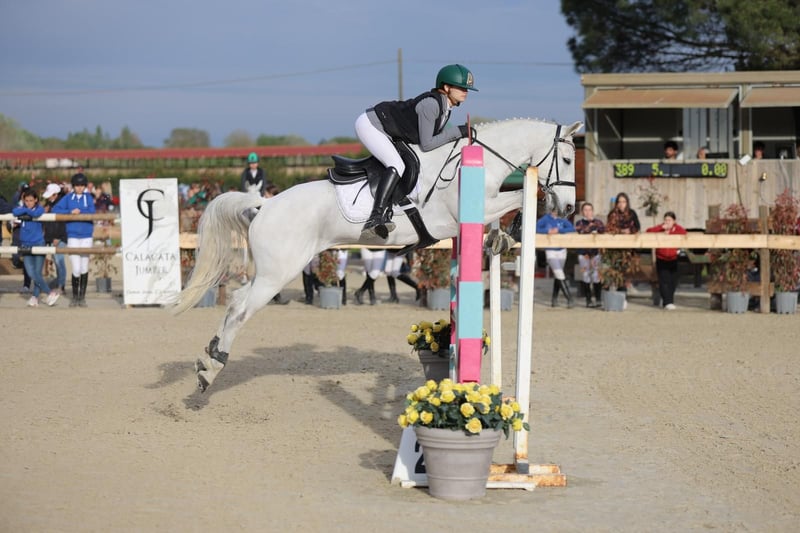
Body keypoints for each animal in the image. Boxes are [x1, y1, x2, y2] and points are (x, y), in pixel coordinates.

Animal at [173, 118, 583, 391]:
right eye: (566, 159)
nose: (568, 208)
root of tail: (264, 205)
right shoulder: (454, 217)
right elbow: (516, 198)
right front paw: (518, 224)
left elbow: (505, 207)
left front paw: (503, 237)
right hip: (279, 272)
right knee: (241, 308)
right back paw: (211, 367)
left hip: (273, 271)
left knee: (236, 302)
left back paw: (210, 356)